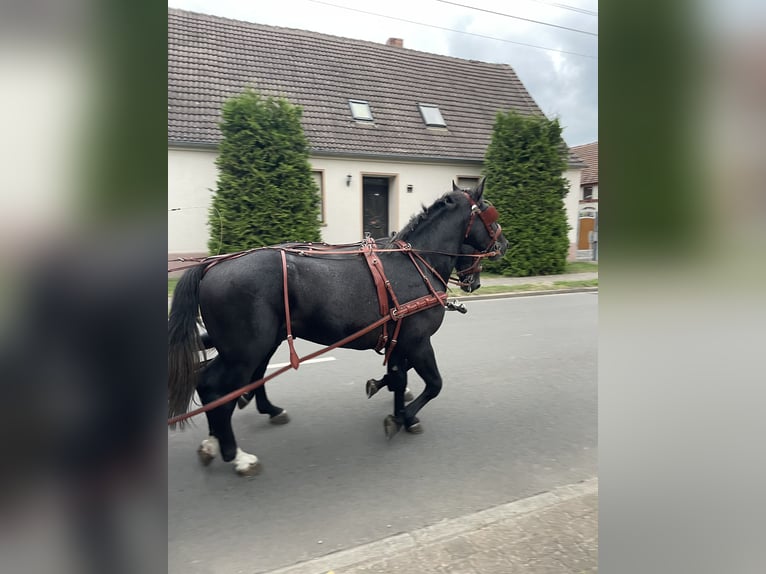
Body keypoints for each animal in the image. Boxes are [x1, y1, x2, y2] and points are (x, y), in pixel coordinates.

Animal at [169, 181, 508, 476]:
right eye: (490, 214)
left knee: (227, 383)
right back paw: (235, 454)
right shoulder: (418, 341)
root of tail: (210, 266)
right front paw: (405, 416)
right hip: (244, 351)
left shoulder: (400, 339)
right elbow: (434, 383)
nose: (504, 245)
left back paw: (224, 436)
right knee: (214, 388)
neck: (417, 261)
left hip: (256, 345)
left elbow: (399, 378)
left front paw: (396, 408)